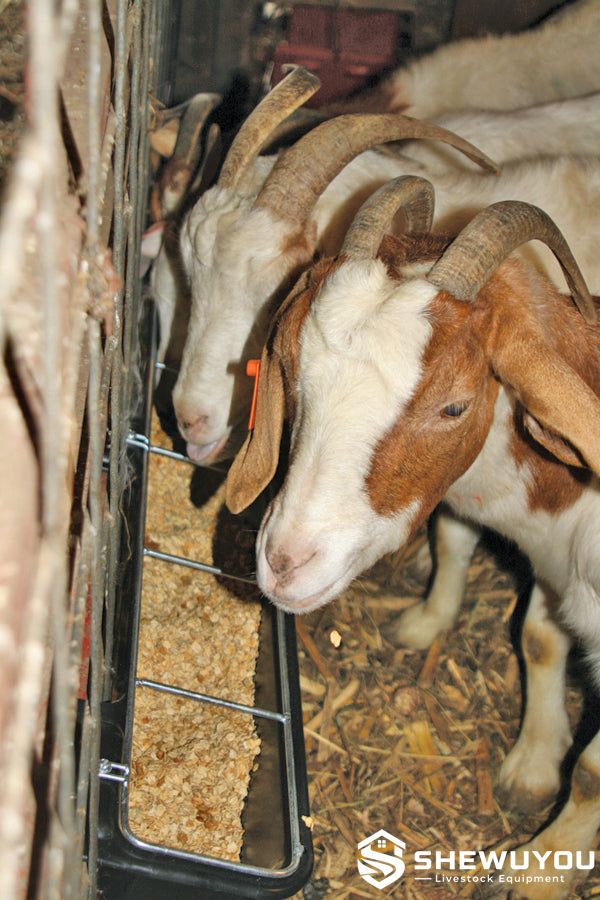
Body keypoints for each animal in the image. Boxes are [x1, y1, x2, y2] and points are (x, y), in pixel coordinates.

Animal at [225, 177, 600, 898]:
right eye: (292, 365)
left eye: (454, 405)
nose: (285, 562)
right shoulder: (550, 567)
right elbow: (537, 637)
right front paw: (532, 765)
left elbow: (593, 771)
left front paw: (538, 871)